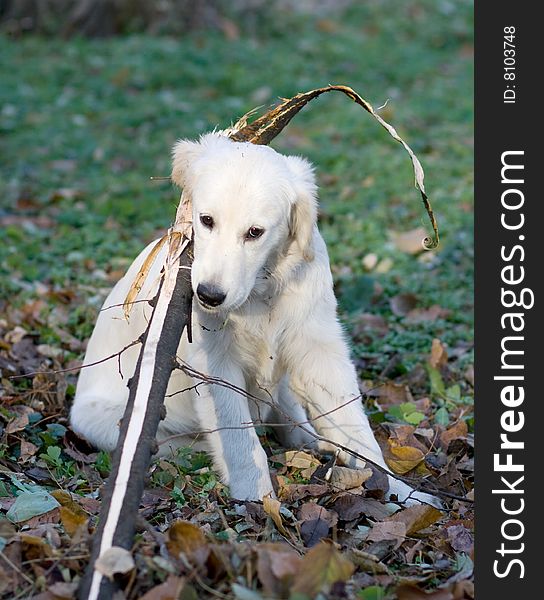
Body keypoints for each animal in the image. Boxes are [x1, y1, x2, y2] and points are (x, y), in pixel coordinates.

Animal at [71, 132, 438, 506]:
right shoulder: (213, 363)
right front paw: (258, 498)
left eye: (254, 232)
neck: (261, 291)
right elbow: (239, 437)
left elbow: (354, 425)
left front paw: (400, 491)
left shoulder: (320, 349)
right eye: (207, 220)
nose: (209, 295)